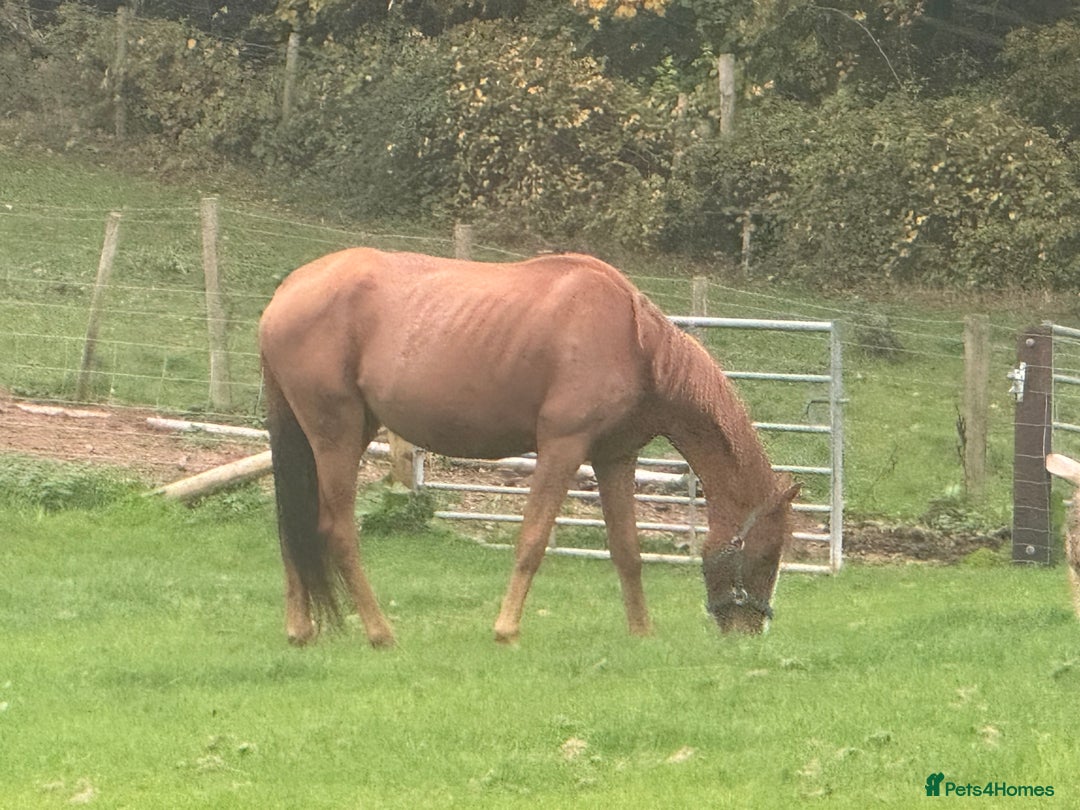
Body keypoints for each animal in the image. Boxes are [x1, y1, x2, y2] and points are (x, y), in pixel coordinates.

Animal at [258, 248, 800, 647]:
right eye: (767, 555)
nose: (750, 632)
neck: (634, 342)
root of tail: (285, 294)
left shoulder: (614, 458)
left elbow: (627, 549)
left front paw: (642, 632)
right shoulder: (562, 448)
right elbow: (533, 540)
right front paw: (507, 630)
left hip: (326, 437)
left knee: (292, 527)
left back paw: (300, 630)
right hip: (336, 434)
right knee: (337, 531)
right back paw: (379, 633)